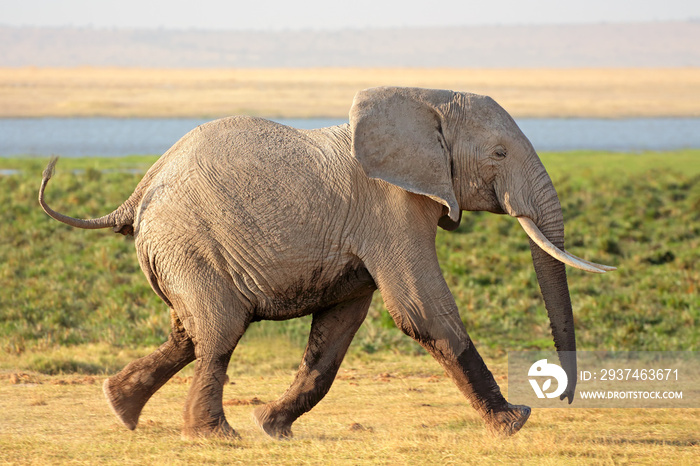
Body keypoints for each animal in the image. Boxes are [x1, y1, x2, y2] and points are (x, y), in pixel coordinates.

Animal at [38, 86, 612, 440]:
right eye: (499, 155)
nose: (563, 398)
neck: (424, 99)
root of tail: (137, 193)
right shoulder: (391, 209)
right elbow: (422, 311)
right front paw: (514, 423)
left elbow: (336, 332)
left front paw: (272, 426)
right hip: (189, 242)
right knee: (219, 330)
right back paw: (213, 436)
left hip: (179, 251)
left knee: (188, 331)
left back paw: (121, 408)